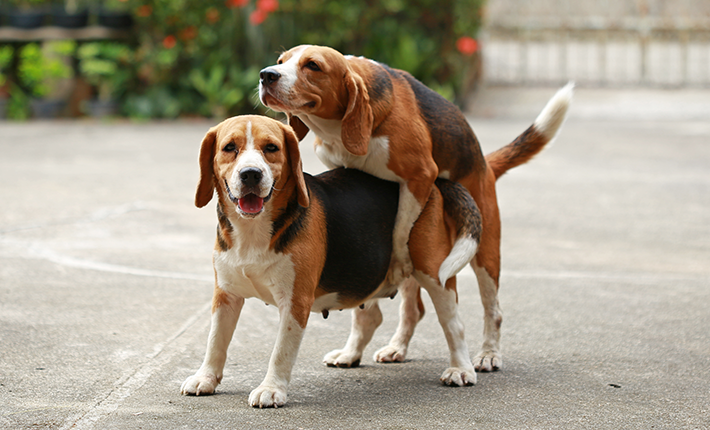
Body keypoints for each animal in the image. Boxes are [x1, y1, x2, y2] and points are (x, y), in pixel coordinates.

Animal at [182, 116, 484, 408]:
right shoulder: (226, 296)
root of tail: (435, 184)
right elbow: (215, 341)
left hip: (434, 274)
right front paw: (205, 378)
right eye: (229, 148)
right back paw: (350, 354)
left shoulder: (295, 302)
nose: (251, 174)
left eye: (271, 148)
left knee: (453, 324)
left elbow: (281, 351)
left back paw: (461, 369)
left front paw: (271, 389)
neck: (253, 231)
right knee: (371, 317)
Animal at [258, 44, 576, 372]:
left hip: (485, 254)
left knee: (492, 309)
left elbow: (400, 230)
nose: (267, 75)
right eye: (281, 61)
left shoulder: (420, 176)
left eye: (313, 66)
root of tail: (485, 165)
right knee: (412, 309)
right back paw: (384, 348)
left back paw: (489, 353)